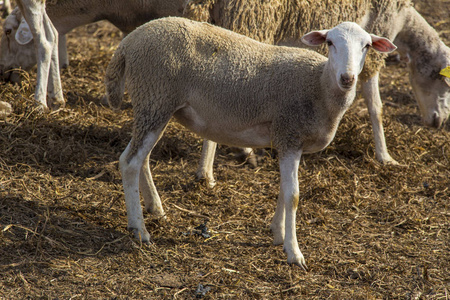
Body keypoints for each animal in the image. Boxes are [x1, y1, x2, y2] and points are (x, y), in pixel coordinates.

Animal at [104, 17, 394, 268]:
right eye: (331, 42)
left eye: (366, 46)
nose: (347, 78)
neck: (319, 86)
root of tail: (129, 41)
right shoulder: (289, 133)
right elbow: (294, 196)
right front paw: (294, 253)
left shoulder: (287, 139)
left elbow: (284, 191)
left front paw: (278, 233)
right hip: (155, 96)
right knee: (129, 162)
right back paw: (139, 229)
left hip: (154, 106)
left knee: (142, 159)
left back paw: (156, 209)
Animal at [185, 0, 450, 185]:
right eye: (442, 80)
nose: (439, 121)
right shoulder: (375, 51)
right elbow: (377, 108)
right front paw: (385, 156)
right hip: (247, 24)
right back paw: (207, 172)